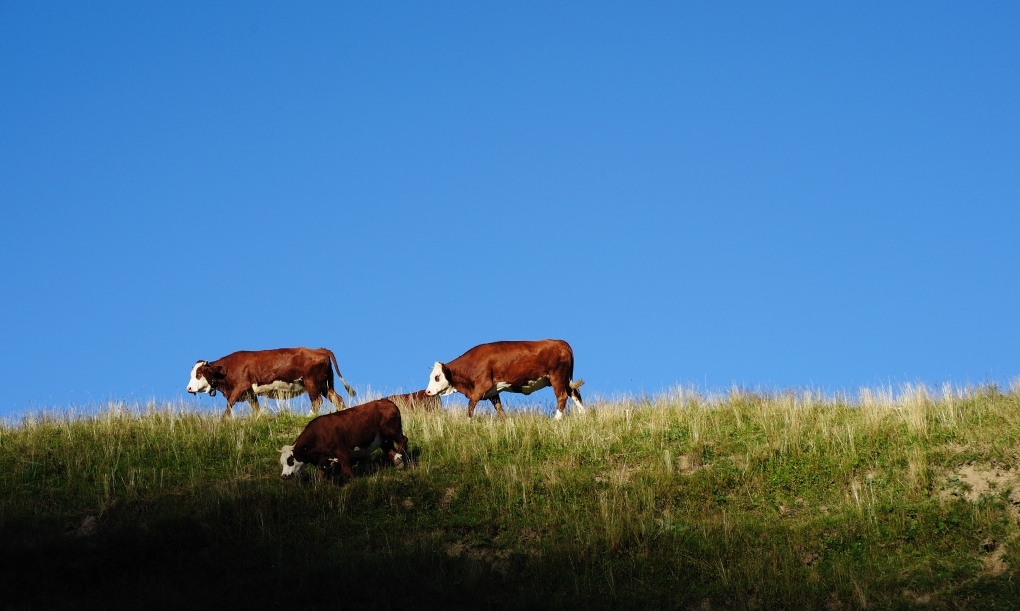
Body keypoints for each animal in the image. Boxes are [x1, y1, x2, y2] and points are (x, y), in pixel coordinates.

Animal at [186, 347, 356, 418]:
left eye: (199, 374)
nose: (188, 388)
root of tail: (319, 349)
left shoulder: (241, 386)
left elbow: (229, 404)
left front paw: (224, 420)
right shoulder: (250, 393)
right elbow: (256, 407)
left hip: (311, 382)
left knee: (317, 401)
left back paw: (309, 415)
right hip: (325, 385)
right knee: (337, 399)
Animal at [279, 398, 408, 481]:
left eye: (290, 460)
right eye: (282, 462)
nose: (284, 476)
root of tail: (387, 401)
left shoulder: (342, 452)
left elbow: (347, 473)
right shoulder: (323, 461)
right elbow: (321, 477)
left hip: (391, 430)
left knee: (404, 440)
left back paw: (399, 457)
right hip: (384, 440)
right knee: (391, 451)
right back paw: (399, 464)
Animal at [424, 339, 586, 420]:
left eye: (437, 377)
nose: (428, 392)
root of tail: (561, 342)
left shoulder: (482, 386)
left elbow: (471, 406)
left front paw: (468, 422)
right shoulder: (492, 391)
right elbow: (499, 408)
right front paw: (506, 421)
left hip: (557, 376)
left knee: (562, 396)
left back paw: (556, 419)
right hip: (564, 379)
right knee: (574, 392)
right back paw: (583, 414)